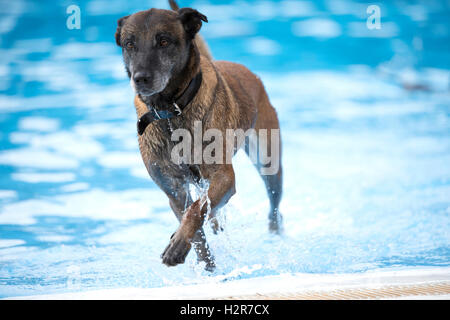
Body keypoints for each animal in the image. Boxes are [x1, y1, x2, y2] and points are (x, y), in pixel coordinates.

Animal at [115, 0, 282, 270]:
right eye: (129, 44)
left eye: (164, 41)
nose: (140, 78)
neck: (170, 112)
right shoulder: (174, 190)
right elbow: (196, 227)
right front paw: (204, 261)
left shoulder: (223, 176)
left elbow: (197, 209)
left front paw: (179, 242)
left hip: (268, 160)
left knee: (274, 203)